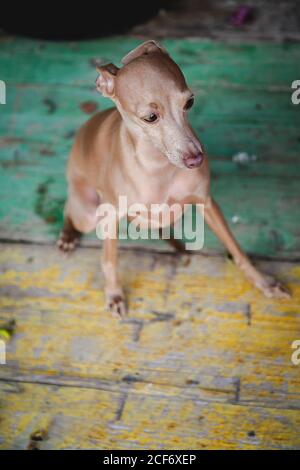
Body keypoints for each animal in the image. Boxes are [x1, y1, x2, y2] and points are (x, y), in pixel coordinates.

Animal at [56, 40, 290, 318]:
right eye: (150, 117)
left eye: (189, 102)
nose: (196, 160)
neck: (158, 167)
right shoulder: (111, 216)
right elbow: (109, 261)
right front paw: (114, 294)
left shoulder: (206, 202)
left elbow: (237, 250)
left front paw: (264, 283)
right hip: (89, 214)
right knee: (69, 209)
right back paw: (68, 236)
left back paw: (176, 245)